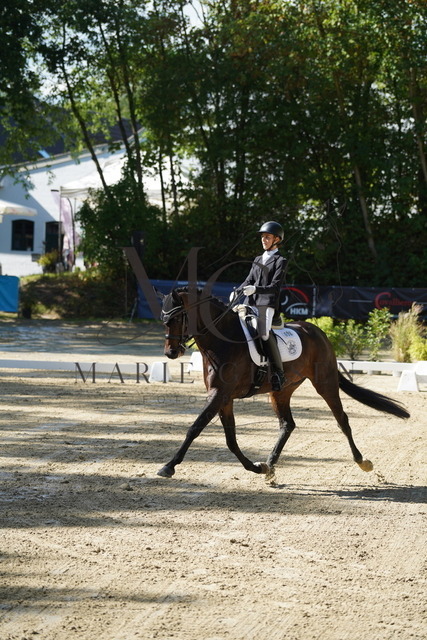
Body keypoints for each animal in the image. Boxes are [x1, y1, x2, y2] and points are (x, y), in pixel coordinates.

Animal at [157, 286, 409, 482]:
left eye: (177, 318)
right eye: (164, 320)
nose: (171, 353)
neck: (223, 342)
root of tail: (318, 331)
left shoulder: (220, 394)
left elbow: (196, 427)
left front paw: (168, 466)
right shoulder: (223, 398)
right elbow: (231, 440)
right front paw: (257, 468)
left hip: (325, 383)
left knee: (342, 420)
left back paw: (362, 461)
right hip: (281, 391)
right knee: (288, 424)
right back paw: (270, 466)